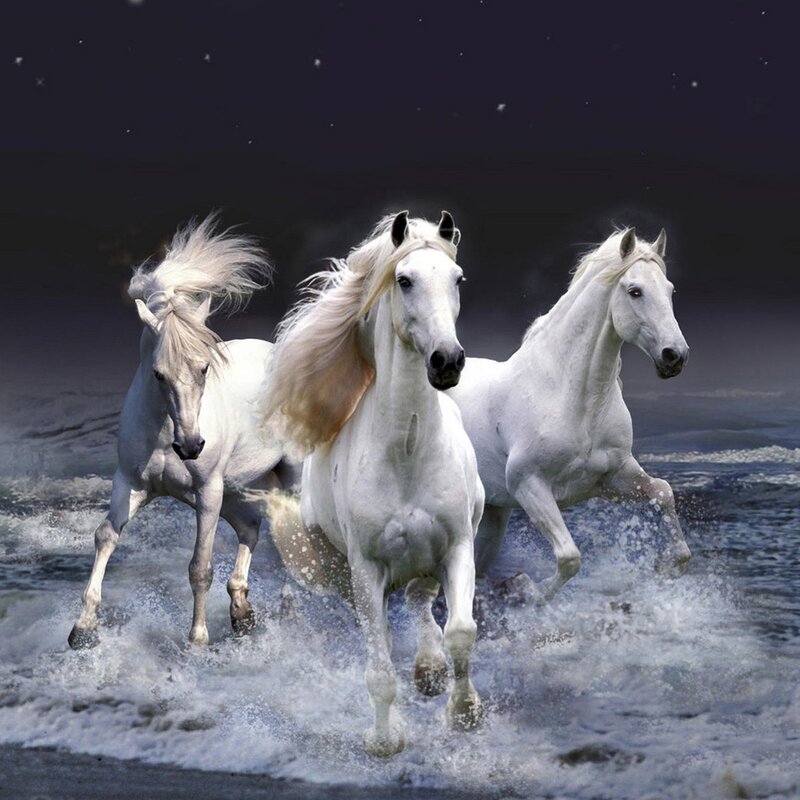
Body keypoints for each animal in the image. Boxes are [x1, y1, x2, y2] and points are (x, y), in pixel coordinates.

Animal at [68, 215, 297, 649]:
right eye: (159, 374)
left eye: (205, 368)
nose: (191, 446)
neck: (164, 433)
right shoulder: (131, 484)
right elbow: (105, 536)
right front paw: (82, 629)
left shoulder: (207, 491)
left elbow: (200, 566)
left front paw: (197, 641)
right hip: (237, 488)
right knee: (251, 527)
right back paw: (242, 612)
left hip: (283, 479)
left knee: (294, 533)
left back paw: (286, 605)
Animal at [265, 211, 485, 757]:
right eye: (403, 280)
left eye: (457, 279)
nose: (447, 361)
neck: (406, 453)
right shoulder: (366, 570)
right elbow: (380, 668)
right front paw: (385, 741)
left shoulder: (457, 545)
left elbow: (461, 632)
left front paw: (464, 714)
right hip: (345, 572)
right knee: (388, 623)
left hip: (428, 559)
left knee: (421, 600)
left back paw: (429, 671)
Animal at [446, 227, 691, 603]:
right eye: (635, 291)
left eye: (670, 289)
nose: (674, 356)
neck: (573, 399)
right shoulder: (529, 485)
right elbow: (569, 557)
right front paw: (525, 588)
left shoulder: (612, 479)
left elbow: (663, 493)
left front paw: (666, 567)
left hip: (493, 515)